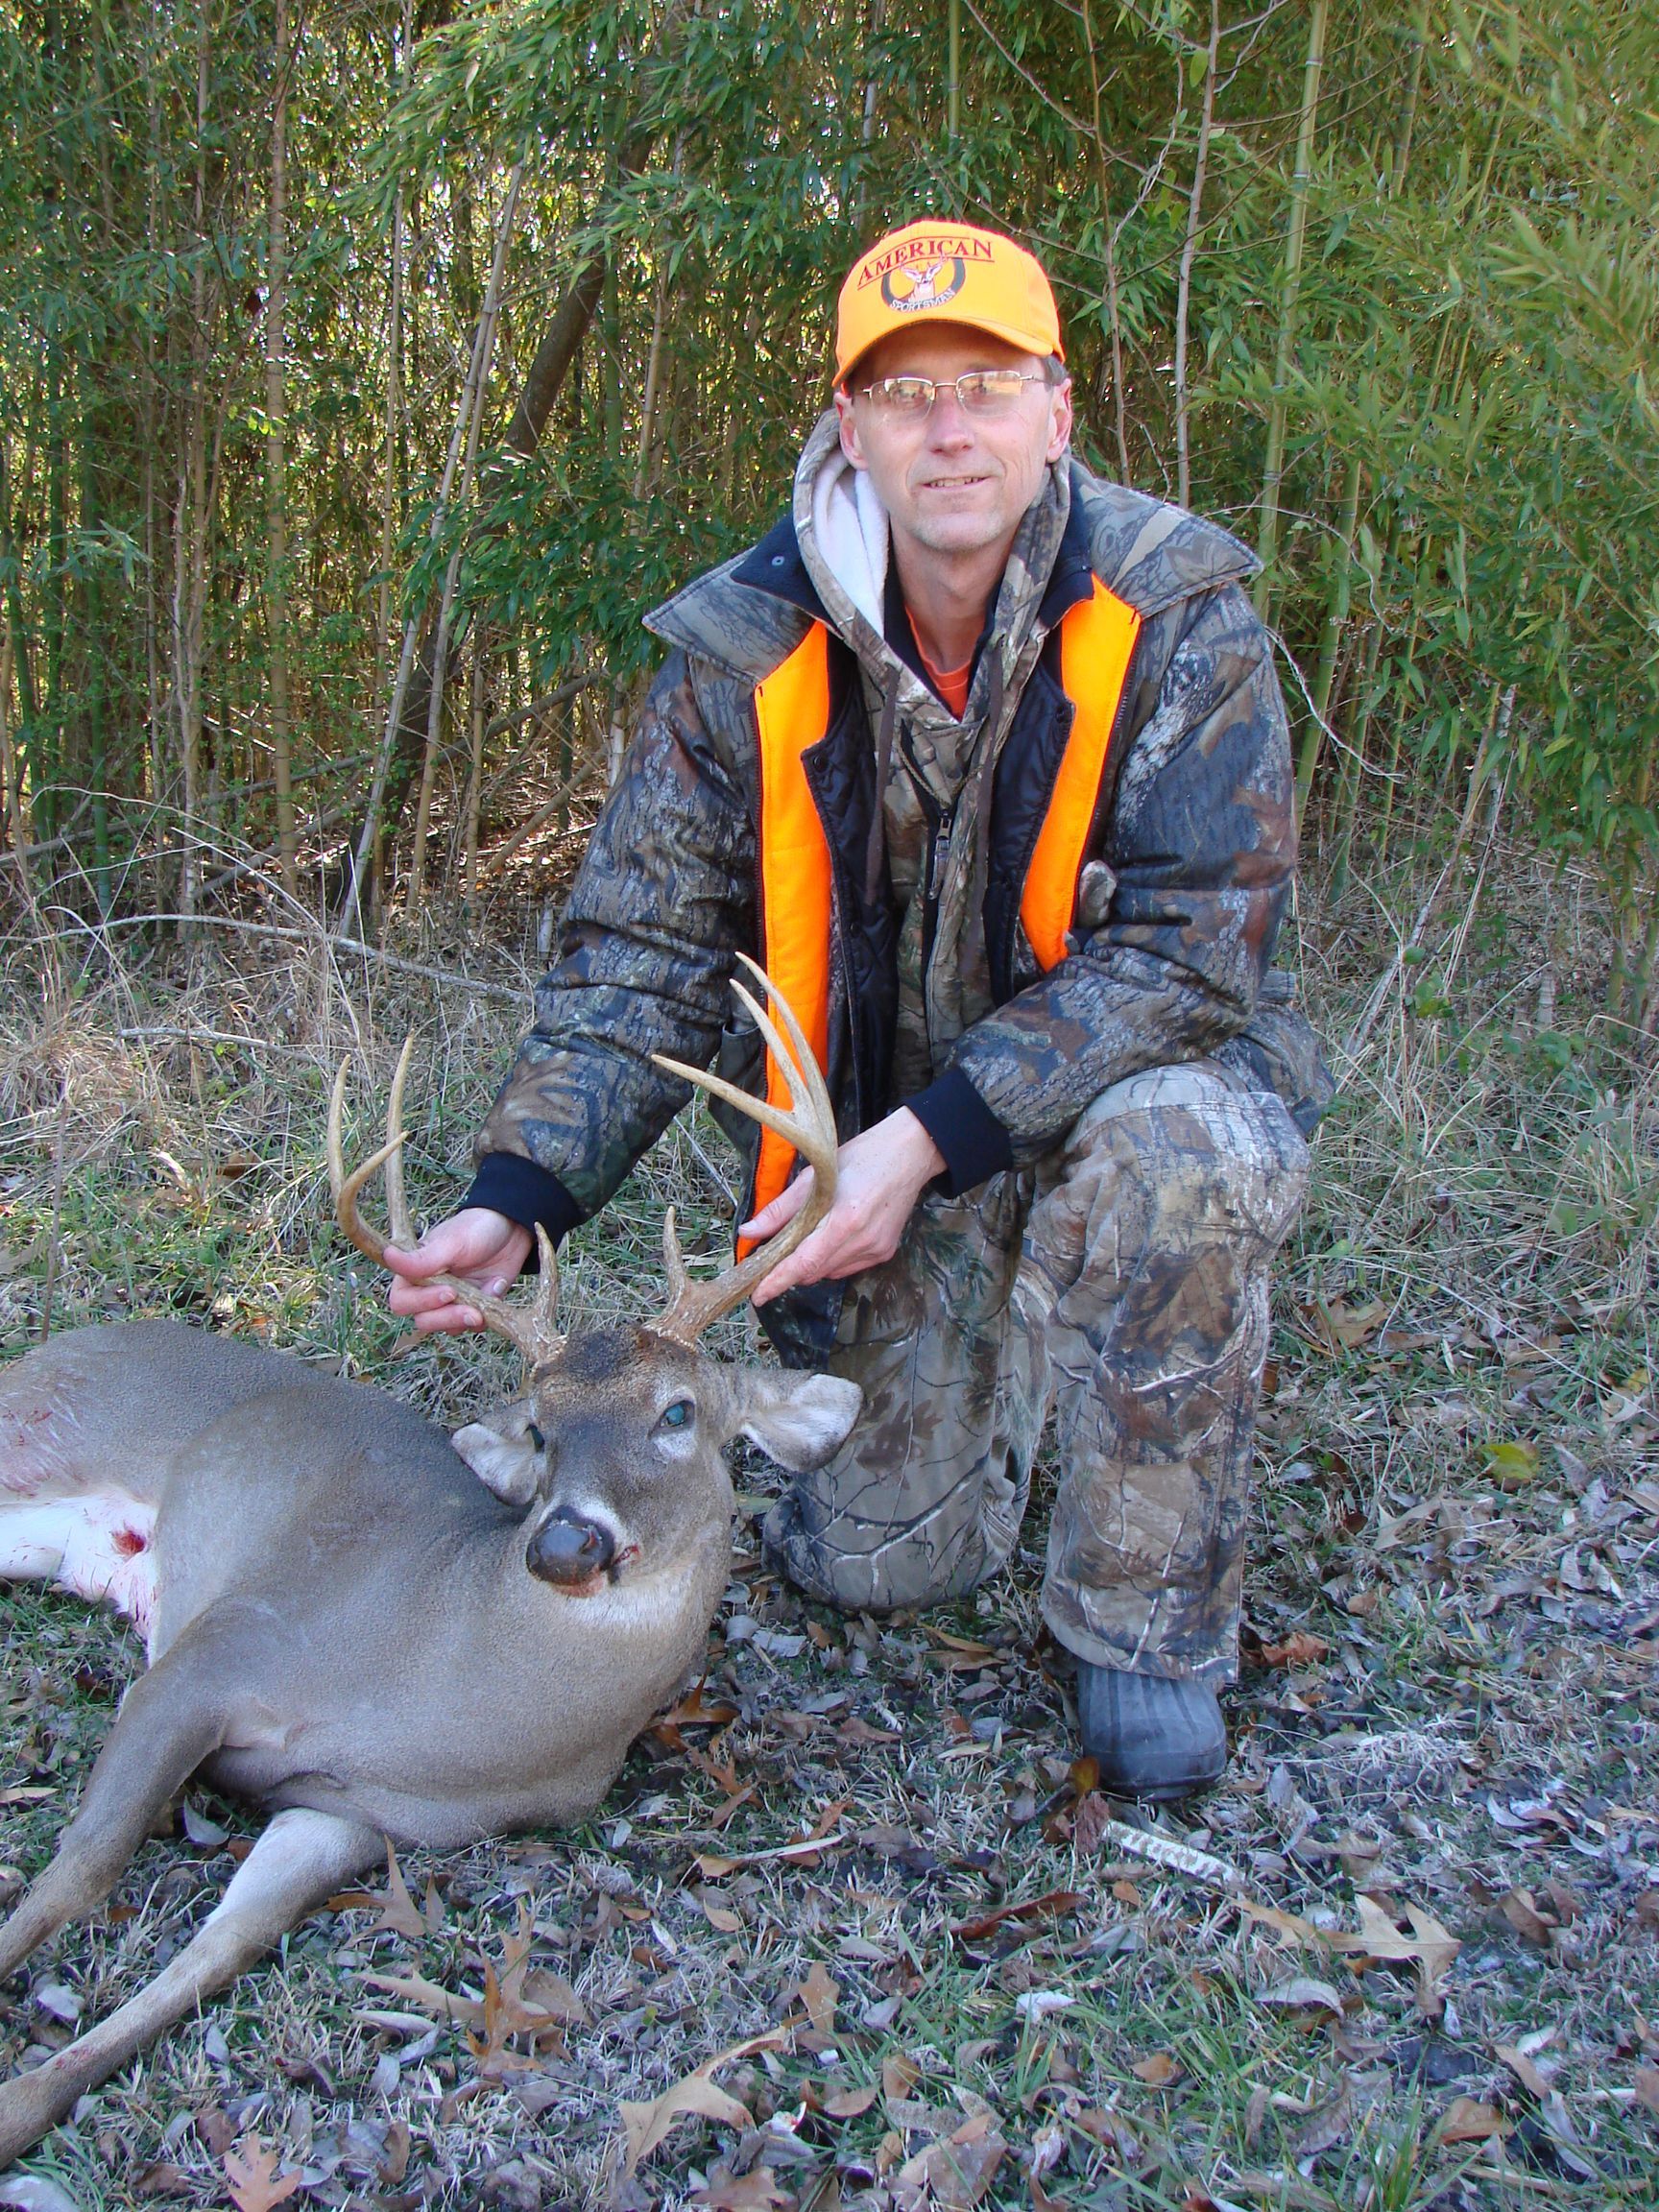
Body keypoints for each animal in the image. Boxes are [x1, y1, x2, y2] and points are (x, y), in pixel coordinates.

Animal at [0, 960, 859, 2168]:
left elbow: (210, 1956)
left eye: (678, 1413)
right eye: (540, 1429)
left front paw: (17, 2106)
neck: (434, 1689)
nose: (564, 1541)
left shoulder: (344, 1818)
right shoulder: (222, 1647)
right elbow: (81, 1868)